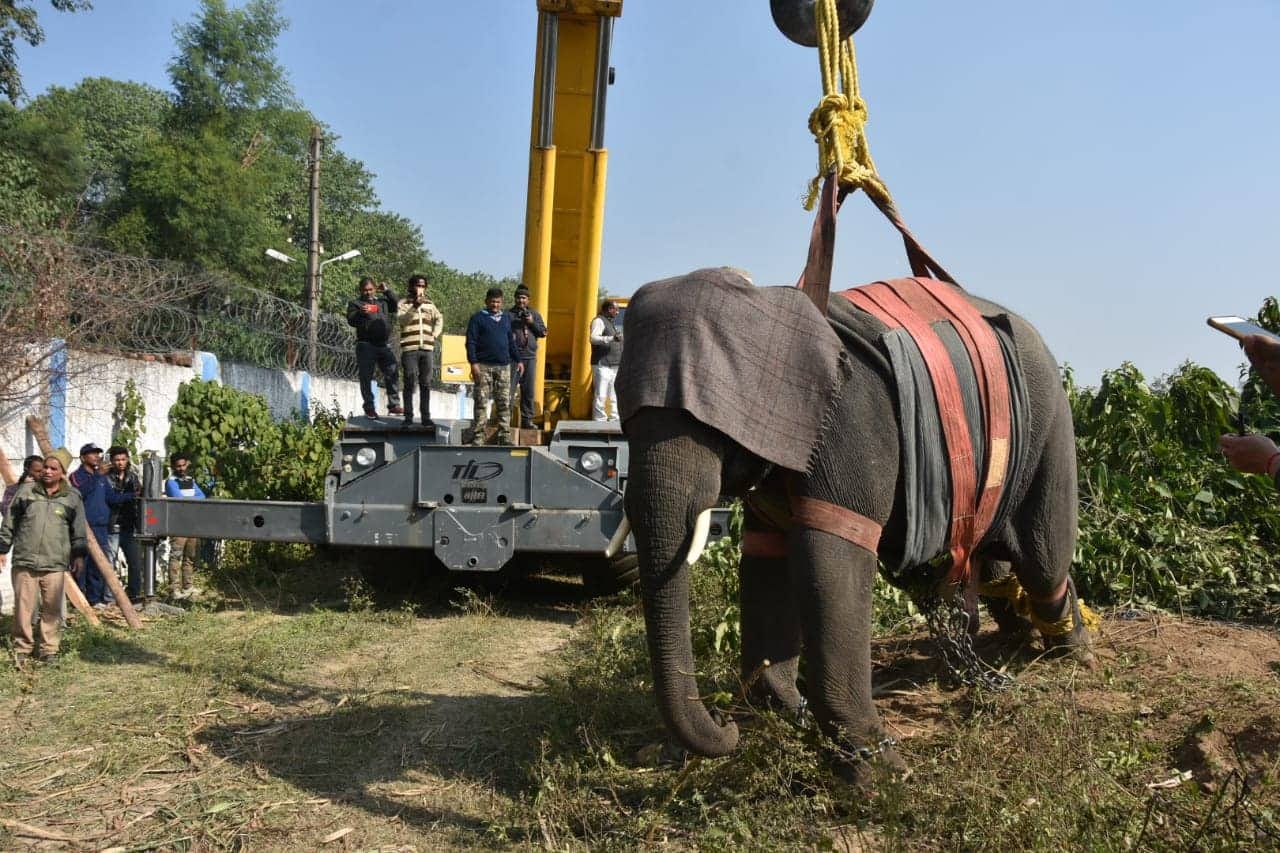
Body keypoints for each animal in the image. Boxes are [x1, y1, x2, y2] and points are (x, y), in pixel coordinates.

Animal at [614, 265, 1091, 777]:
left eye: (705, 428)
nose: (725, 723)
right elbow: (766, 559)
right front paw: (786, 708)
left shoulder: (852, 425)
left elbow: (830, 561)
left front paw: (880, 770)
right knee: (994, 561)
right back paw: (1005, 645)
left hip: (1050, 426)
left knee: (1043, 561)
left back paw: (1072, 649)